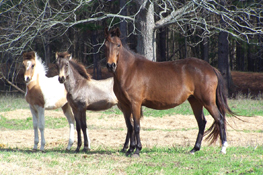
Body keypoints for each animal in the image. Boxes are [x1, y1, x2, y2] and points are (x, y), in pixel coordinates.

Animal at [105, 27, 237, 157]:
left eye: (118, 45)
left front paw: (137, 150)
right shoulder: (125, 106)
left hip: (208, 102)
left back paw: (223, 148)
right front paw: (130, 149)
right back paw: (194, 149)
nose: (111, 65)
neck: (130, 71)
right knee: (202, 122)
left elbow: (136, 126)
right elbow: (130, 126)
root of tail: (210, 68)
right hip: (195, 101)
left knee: (220, 119)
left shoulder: (135, 104)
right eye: (105, 45)